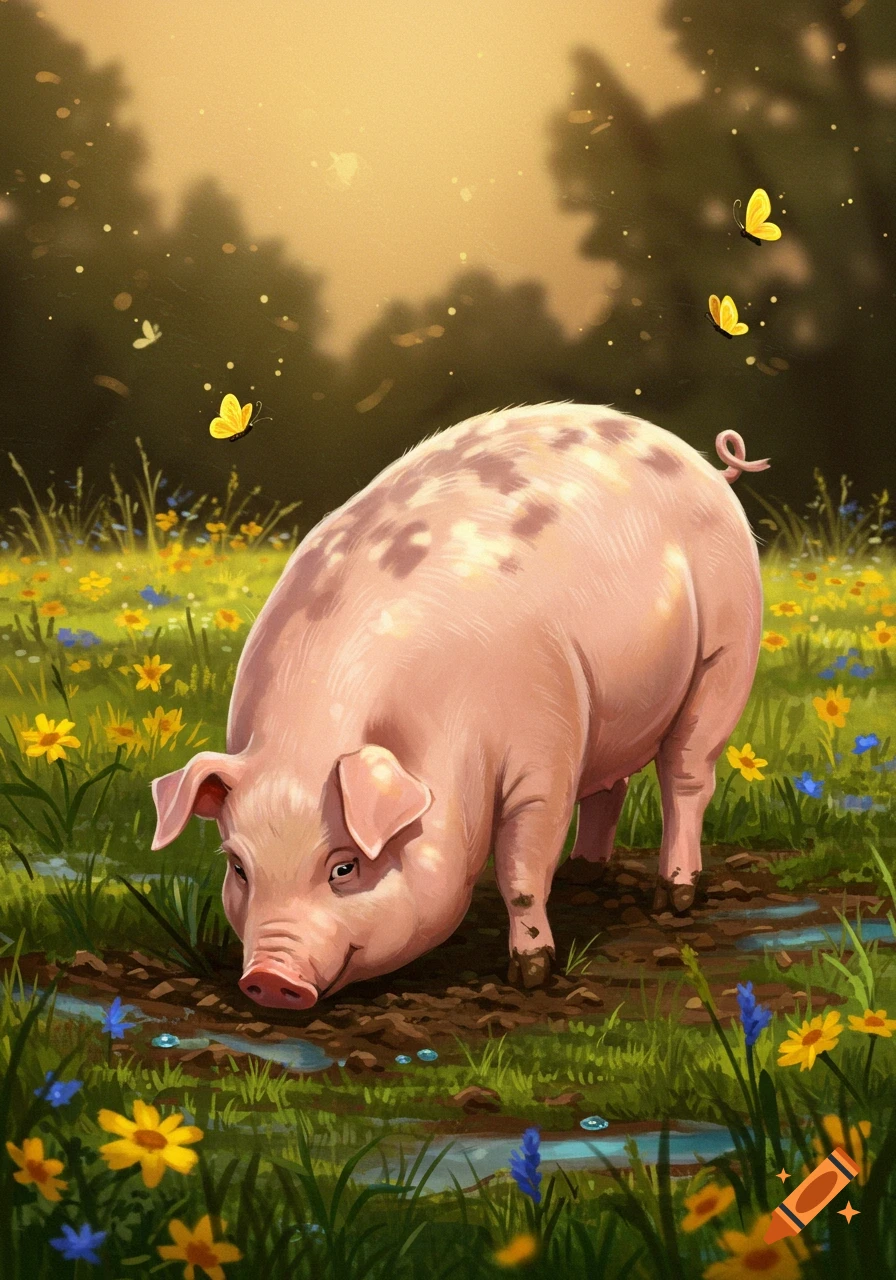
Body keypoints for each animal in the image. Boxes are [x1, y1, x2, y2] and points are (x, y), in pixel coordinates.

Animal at [151, 404, 769, 1009]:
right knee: (608, 786)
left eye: (344, 866)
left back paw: (677, 895)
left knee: (687, 775)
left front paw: (531, 975)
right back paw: (582, 875)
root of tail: (708, 469)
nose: (271, 981)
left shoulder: (545, 753)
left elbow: (521, 869)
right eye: (238, 867)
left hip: (726, 654)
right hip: (605, 713)